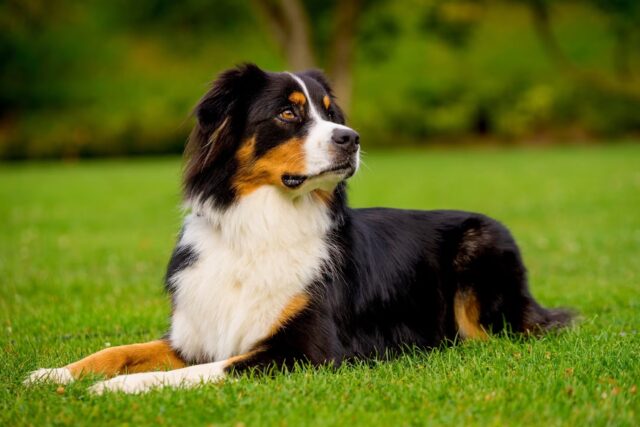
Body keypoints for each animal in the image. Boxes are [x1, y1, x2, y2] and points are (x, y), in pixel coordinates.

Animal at [27, 63, 572, 394]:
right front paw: (53, 372)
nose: (352, 138)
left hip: (483, 247)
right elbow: (117, 350)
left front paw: (117, 389)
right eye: (288, 112)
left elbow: (209, 369)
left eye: (331, 113)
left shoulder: (305, 350)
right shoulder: (195, 334)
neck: (262, 226)